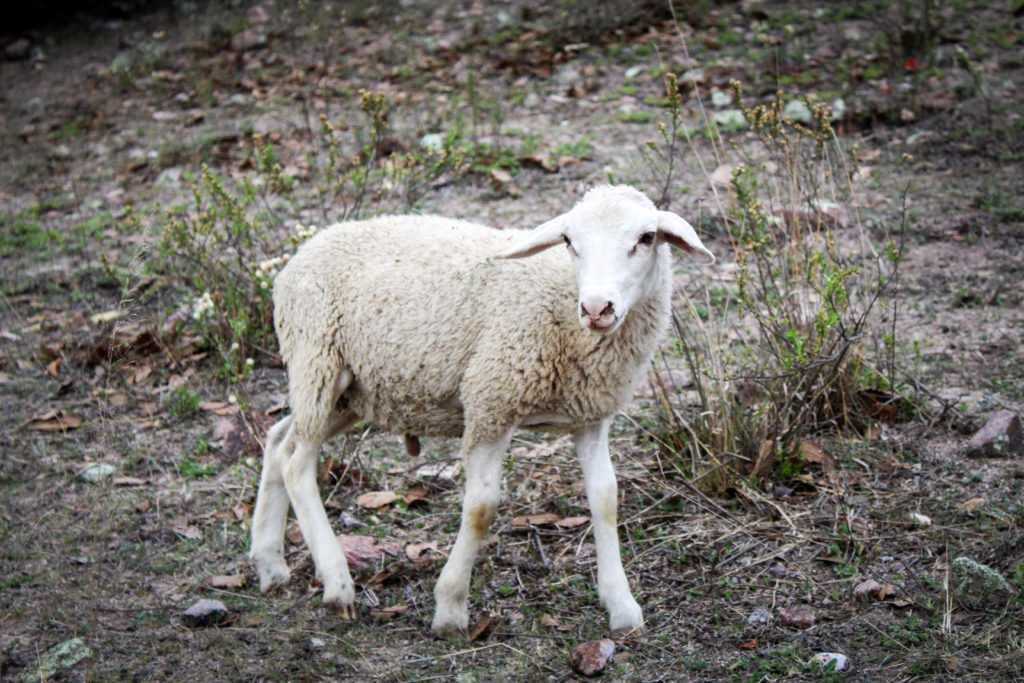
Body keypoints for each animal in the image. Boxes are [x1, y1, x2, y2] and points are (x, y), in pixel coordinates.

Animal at [247, 183, 712, 634]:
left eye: (646, 238)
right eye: (568, 240)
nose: (597, 308)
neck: (563, 301)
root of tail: (299, 255)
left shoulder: (591, 416)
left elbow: (606, 498)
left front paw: (621, 605)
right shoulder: (491, 401)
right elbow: (481, 508)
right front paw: (450, 608)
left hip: (352, 393)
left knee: (278, 441)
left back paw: (270, 562)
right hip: (318, 359)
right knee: (297, 463)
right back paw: (336, 583)